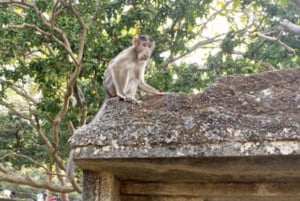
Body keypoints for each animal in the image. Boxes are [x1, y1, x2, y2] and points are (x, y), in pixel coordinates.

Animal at [66, 34, 164, 181]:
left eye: (149, 46)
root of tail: (107, 92)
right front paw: (122, 94)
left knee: (134, 78)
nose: (147, 51)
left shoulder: (142, 62)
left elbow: (140, 81)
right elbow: (116, 66)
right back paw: (121, 96)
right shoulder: (130, 53)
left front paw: (159, 93)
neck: (137, 55)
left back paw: (131, 97)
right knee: (126, 69)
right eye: (144, 45)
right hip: (110, 84)